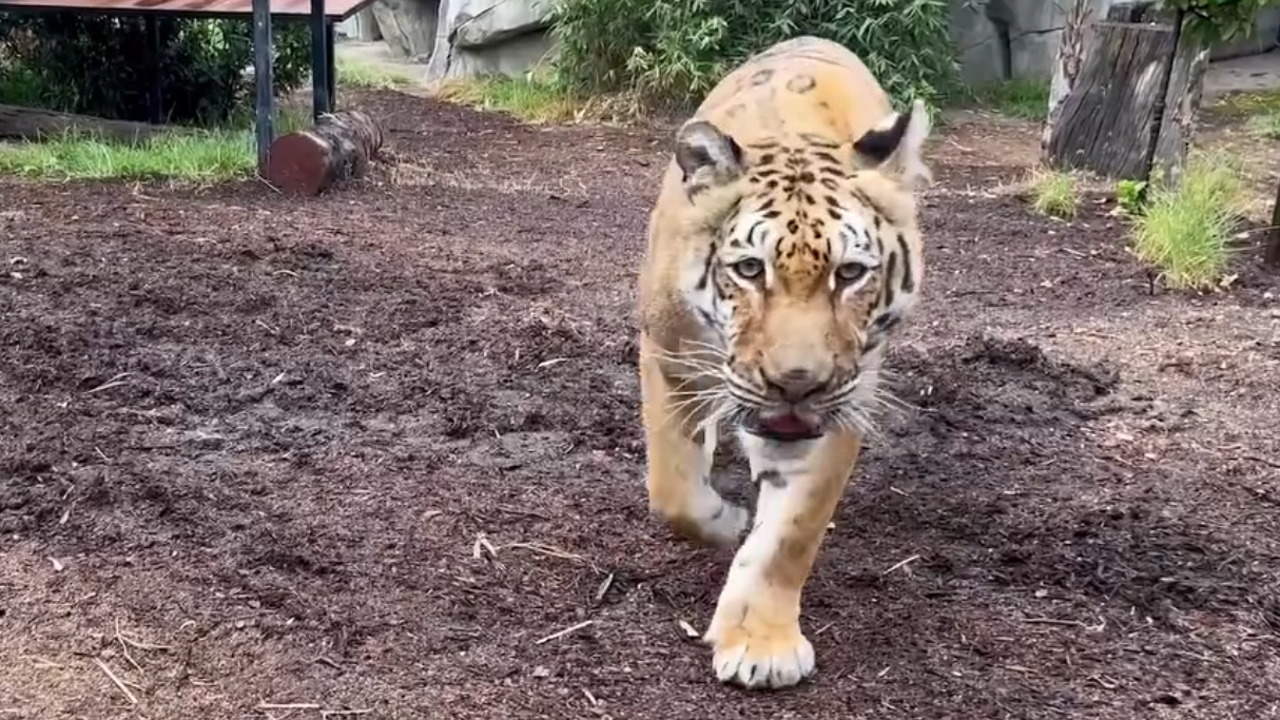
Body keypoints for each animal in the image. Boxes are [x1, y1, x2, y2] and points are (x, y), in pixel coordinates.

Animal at [635, 35, 932, 690]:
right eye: (750, 269)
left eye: (850, 273)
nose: (796, 383)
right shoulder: (668, 354)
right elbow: (673, 487)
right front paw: (724, 521)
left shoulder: (844, 403)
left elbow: (791, 533)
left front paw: (761, 645)